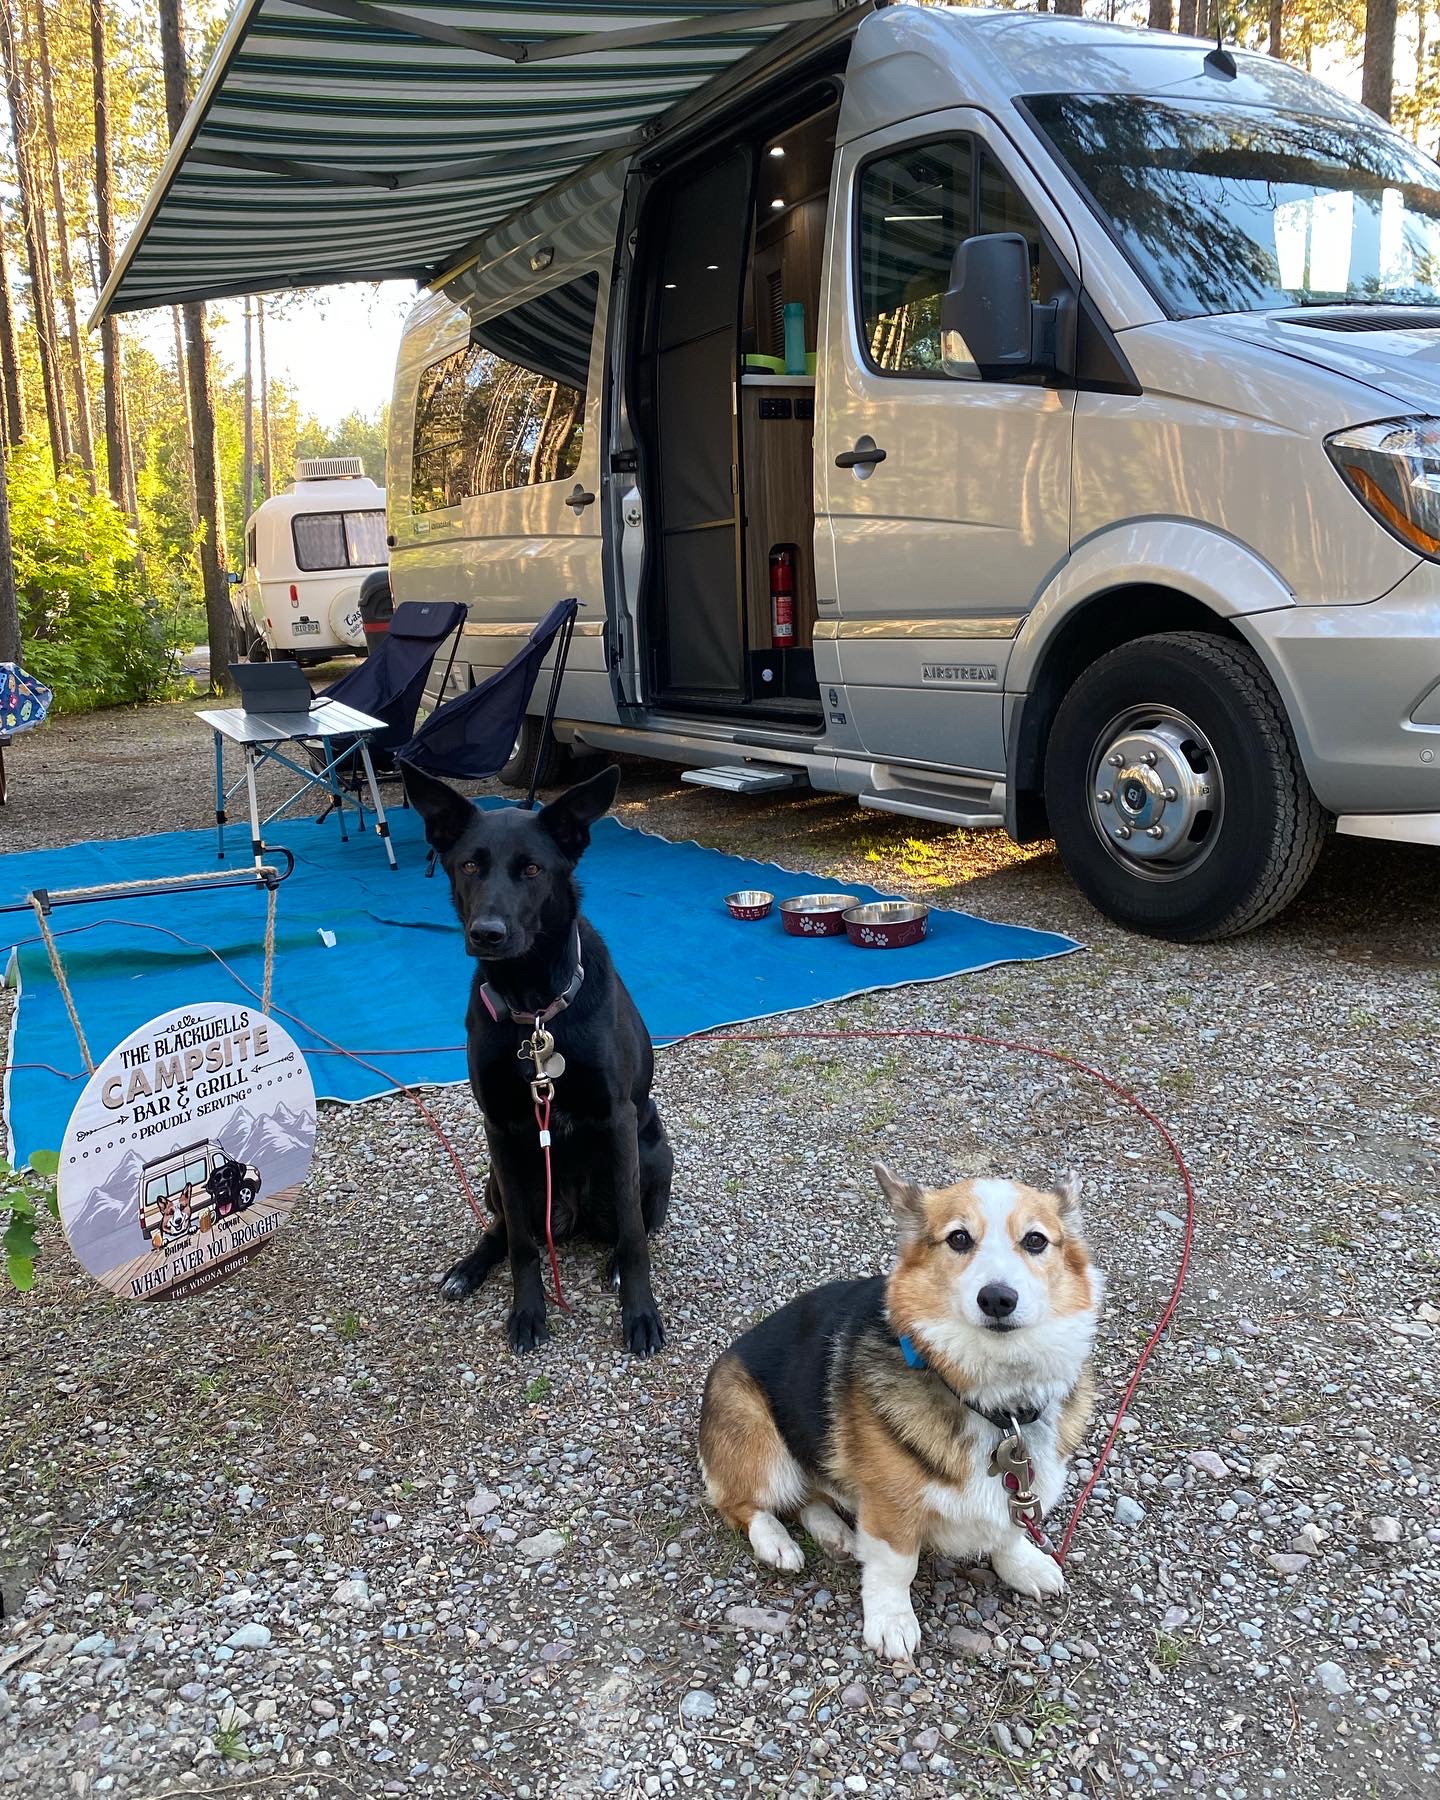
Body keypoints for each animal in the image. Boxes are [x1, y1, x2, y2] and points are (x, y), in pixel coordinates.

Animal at [401, 761, 672, 1356]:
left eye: (531, 869)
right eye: (470, 865)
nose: (487, 934)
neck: (534, 1006)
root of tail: (570, 1216)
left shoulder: (618, 1119)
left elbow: (633, 1237)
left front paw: (640, 1313)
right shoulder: (499, 1126)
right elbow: (524, 1246)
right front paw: (527, 1312)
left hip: (654, 1157)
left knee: (630, 1226)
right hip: (498, 1178)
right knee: (505, 1229)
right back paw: (469, 1267)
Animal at [699, 1164, 1102, 1659]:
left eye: (1036, 1240)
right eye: (959, 1238)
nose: (997, 1298)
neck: (995, 1403)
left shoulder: (1021, 1488)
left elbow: (1009, 1532)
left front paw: (1025, 1566)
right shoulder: (890, 1506)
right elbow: (896, 1566)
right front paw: (892, 1622)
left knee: (811, 1496)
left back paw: (836, 1535)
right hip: (762, 1444)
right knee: (743, 1503)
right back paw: (777, 1543)